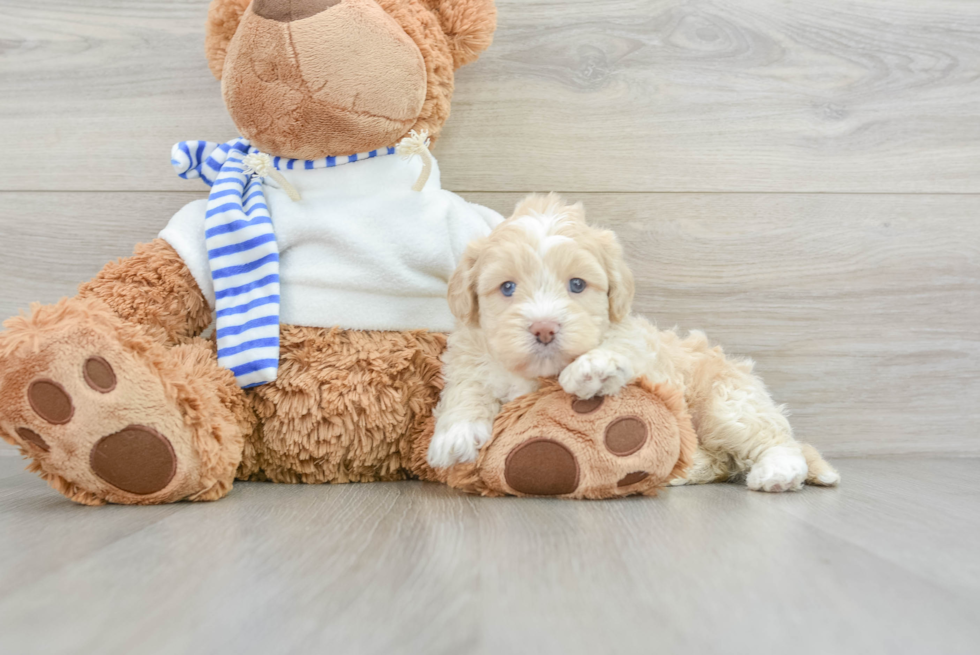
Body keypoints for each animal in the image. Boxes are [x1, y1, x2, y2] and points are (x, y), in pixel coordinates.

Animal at [428, 193, 844, 492]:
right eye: (507, 288)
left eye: (576, 284)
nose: (544, 328)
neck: (538, 375)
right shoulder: (470, 355)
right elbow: (467, 389)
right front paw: (455, 434)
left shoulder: (644, 349)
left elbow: (623, 345)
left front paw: (591, 368)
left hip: (727, 403)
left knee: (772, 438)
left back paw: (778, 471)